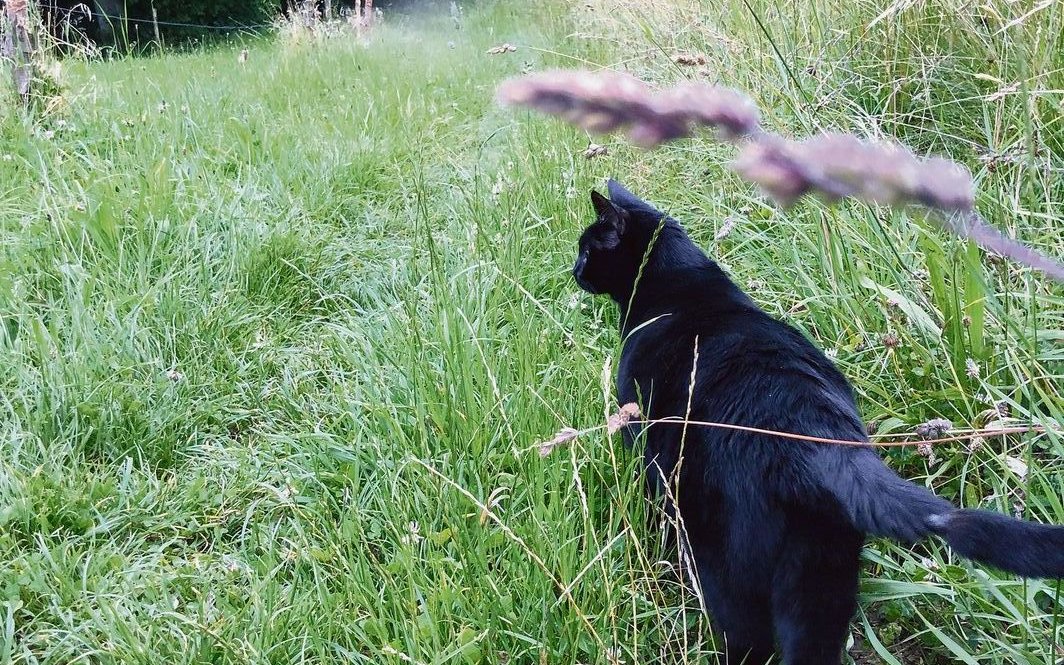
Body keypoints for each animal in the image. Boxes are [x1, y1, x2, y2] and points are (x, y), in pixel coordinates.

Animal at [574, 178, 1064, 663]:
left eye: (586, 250)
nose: (573, 270)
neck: (679, 284)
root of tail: (820, 442)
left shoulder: (645, 446)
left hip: (727, 567)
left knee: (746, 639)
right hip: (820, 576)